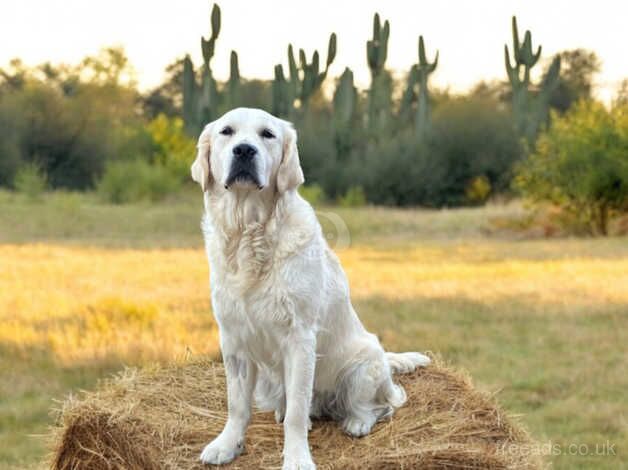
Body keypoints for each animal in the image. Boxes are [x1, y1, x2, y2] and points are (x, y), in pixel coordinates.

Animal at [190, 108, 426, 468]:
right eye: (226, 132)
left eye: (267, 134)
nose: (244, 150)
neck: (250, 232)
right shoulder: (233, 338)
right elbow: (237, 404)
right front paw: (228, 444)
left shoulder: (299, 338)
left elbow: (298, 414)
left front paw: (297, 458)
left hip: (362, 366)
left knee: (383, 404)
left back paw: (357, 421)